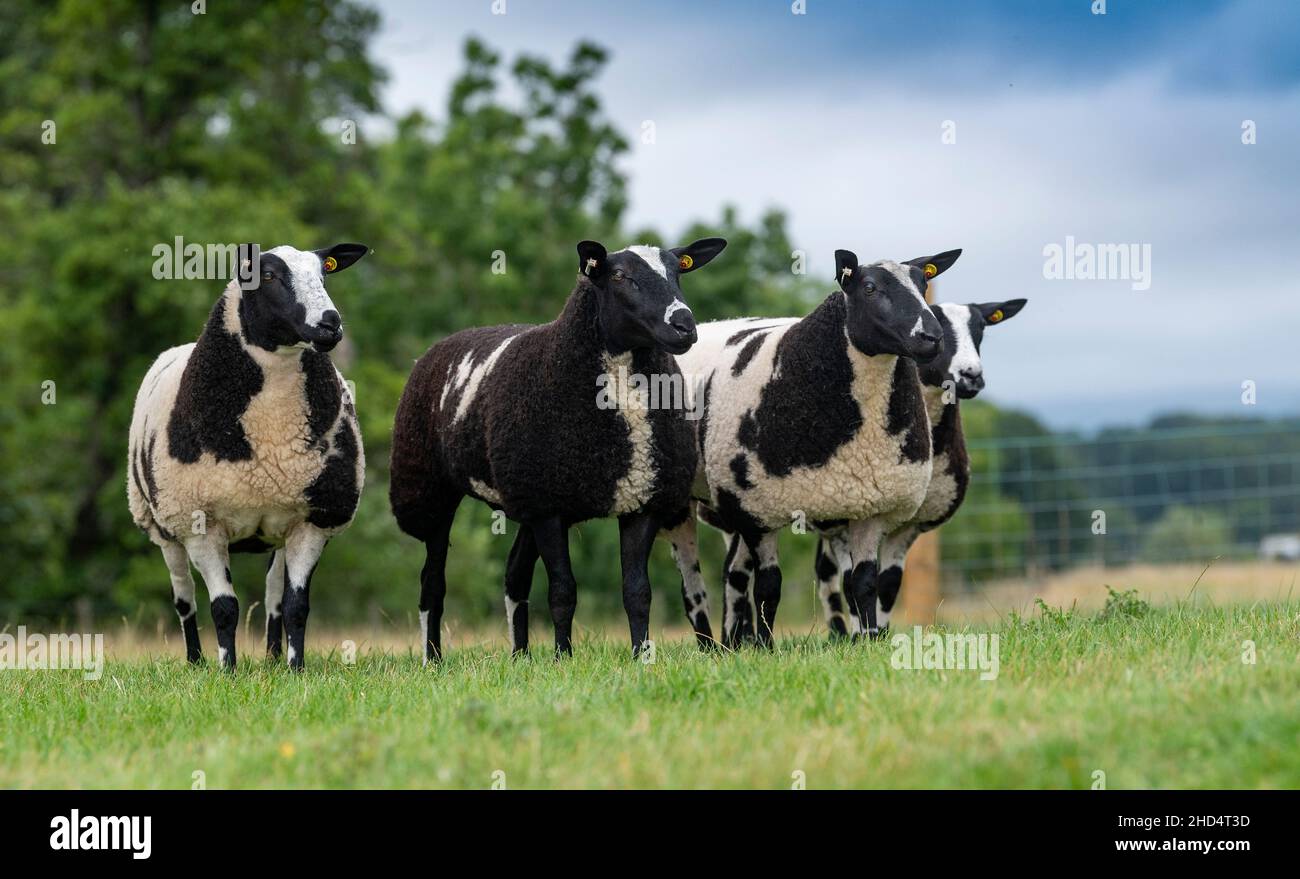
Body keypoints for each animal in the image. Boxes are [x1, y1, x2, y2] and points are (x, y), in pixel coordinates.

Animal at [124, 243, 369, 670]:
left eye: (324, 273)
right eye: (266, 275)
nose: (330, 323)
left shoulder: (312, 520)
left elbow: (296, 606)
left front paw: (296, 669)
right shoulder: (200, 526)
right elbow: (224, 608)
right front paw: (228, 670)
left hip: (277, 529)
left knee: (273, 596)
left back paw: (271, 658)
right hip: (161, 526)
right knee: (184, 598)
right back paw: (195, 661)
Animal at [384, 235, 733, 660]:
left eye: (678, 271)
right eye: (620, 276)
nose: (684, 325)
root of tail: (445, 343)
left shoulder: (640, 500)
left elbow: (637, 592)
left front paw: (640, 657)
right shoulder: (549, 508)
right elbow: (563, 591)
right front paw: (563, 657)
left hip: (527, 495)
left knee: (514, 575)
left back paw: (520, 656)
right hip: (433, 489)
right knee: (432, 583)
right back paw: (432, 659)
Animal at [660, 247, 967, 644]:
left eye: (923, 282)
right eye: (869, 287)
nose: (931, 337)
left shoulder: (868, 507)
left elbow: (863, 583)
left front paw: (867, 640)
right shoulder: (760, 509)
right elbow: (770, 586)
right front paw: (766, 647)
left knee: (733, 572)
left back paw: (731, 643)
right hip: (690, 500)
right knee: (694, 581)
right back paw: (711, 645)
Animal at [816, 299, 1029, 634]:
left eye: (981, 328)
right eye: (936, 327)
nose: (971, 375)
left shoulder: (910, 524)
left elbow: (888, 584)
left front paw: (881, 635)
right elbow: (853, 581)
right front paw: (861, 636)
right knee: (824, 572)